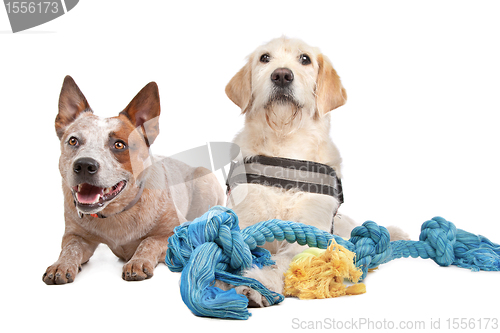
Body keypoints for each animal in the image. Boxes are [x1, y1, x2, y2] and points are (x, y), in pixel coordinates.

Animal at [44, 76, 224, 284]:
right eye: (73, 141)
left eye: (119, 145)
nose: (84, 165)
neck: (116, 213)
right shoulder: (75, 235)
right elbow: (70, 248)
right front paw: (61, 264)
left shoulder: (176, 233)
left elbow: (149, 241)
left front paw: (137, 261)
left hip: (205, 179)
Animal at [223, 37, 406, 304]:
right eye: (264, 58)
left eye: (305, 59)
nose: (281, 75)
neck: (285, 146)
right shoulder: (246, 219)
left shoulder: (309, 230)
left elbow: (285, 260)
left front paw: (259, 283)